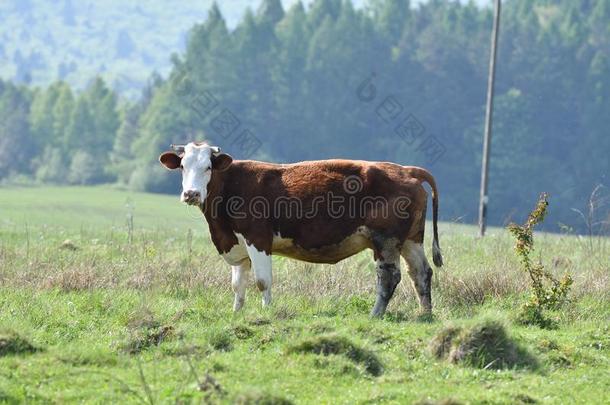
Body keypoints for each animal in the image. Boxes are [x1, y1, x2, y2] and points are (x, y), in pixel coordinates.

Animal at [157, 142, 442, 316]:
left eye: (208, 167)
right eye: (182, 166)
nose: (191, 194)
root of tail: (406, 170)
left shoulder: (258, 239)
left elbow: (262, 281)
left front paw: (266, 312)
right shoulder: (236, 243)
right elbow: (238, 285)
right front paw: (236, 313)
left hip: (386, 240)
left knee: (389, 277)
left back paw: (375, 314)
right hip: (411, 240)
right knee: (421, 273)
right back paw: (425, 314)